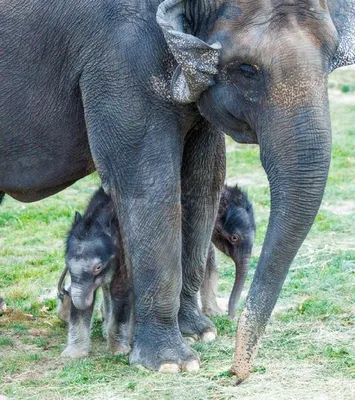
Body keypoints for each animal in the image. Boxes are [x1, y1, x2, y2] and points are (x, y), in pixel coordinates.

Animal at [57, 184, 253, 356]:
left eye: (98, 267)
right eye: (235, 237)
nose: (231, 318)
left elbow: (120, 290)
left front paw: (118, 351)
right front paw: (72, 356)